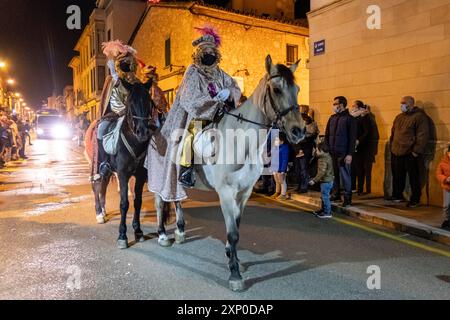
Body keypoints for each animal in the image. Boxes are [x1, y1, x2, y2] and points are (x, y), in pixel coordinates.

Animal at [153, 56, 304, 292]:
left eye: (297, 89)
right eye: (277, 89)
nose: (299, 131)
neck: (240, 142)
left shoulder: (244, 193)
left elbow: (237, 228)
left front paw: (234, 259)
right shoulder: (225, 192)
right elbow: (233, 233)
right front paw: (234, 274)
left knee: (176, 201)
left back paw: (179, 231)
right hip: (160, 177)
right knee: (160, 202)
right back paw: (162, 235)